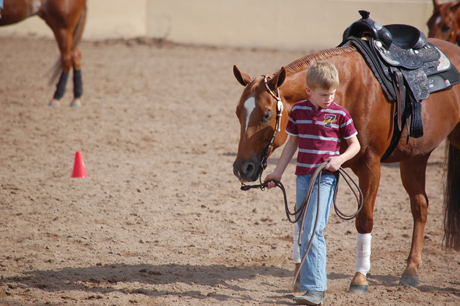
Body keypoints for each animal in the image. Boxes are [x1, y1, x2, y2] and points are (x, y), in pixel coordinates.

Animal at [232, 37, 460, 292]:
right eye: (238, 112)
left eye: (266, 114)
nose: (242, 168)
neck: (347, 90)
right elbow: (306, 217)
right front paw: (300, 275)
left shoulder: (371, 165)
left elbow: (364, 219)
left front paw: (359, 278)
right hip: (415, 156)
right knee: (420, 205)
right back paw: (411, 269)